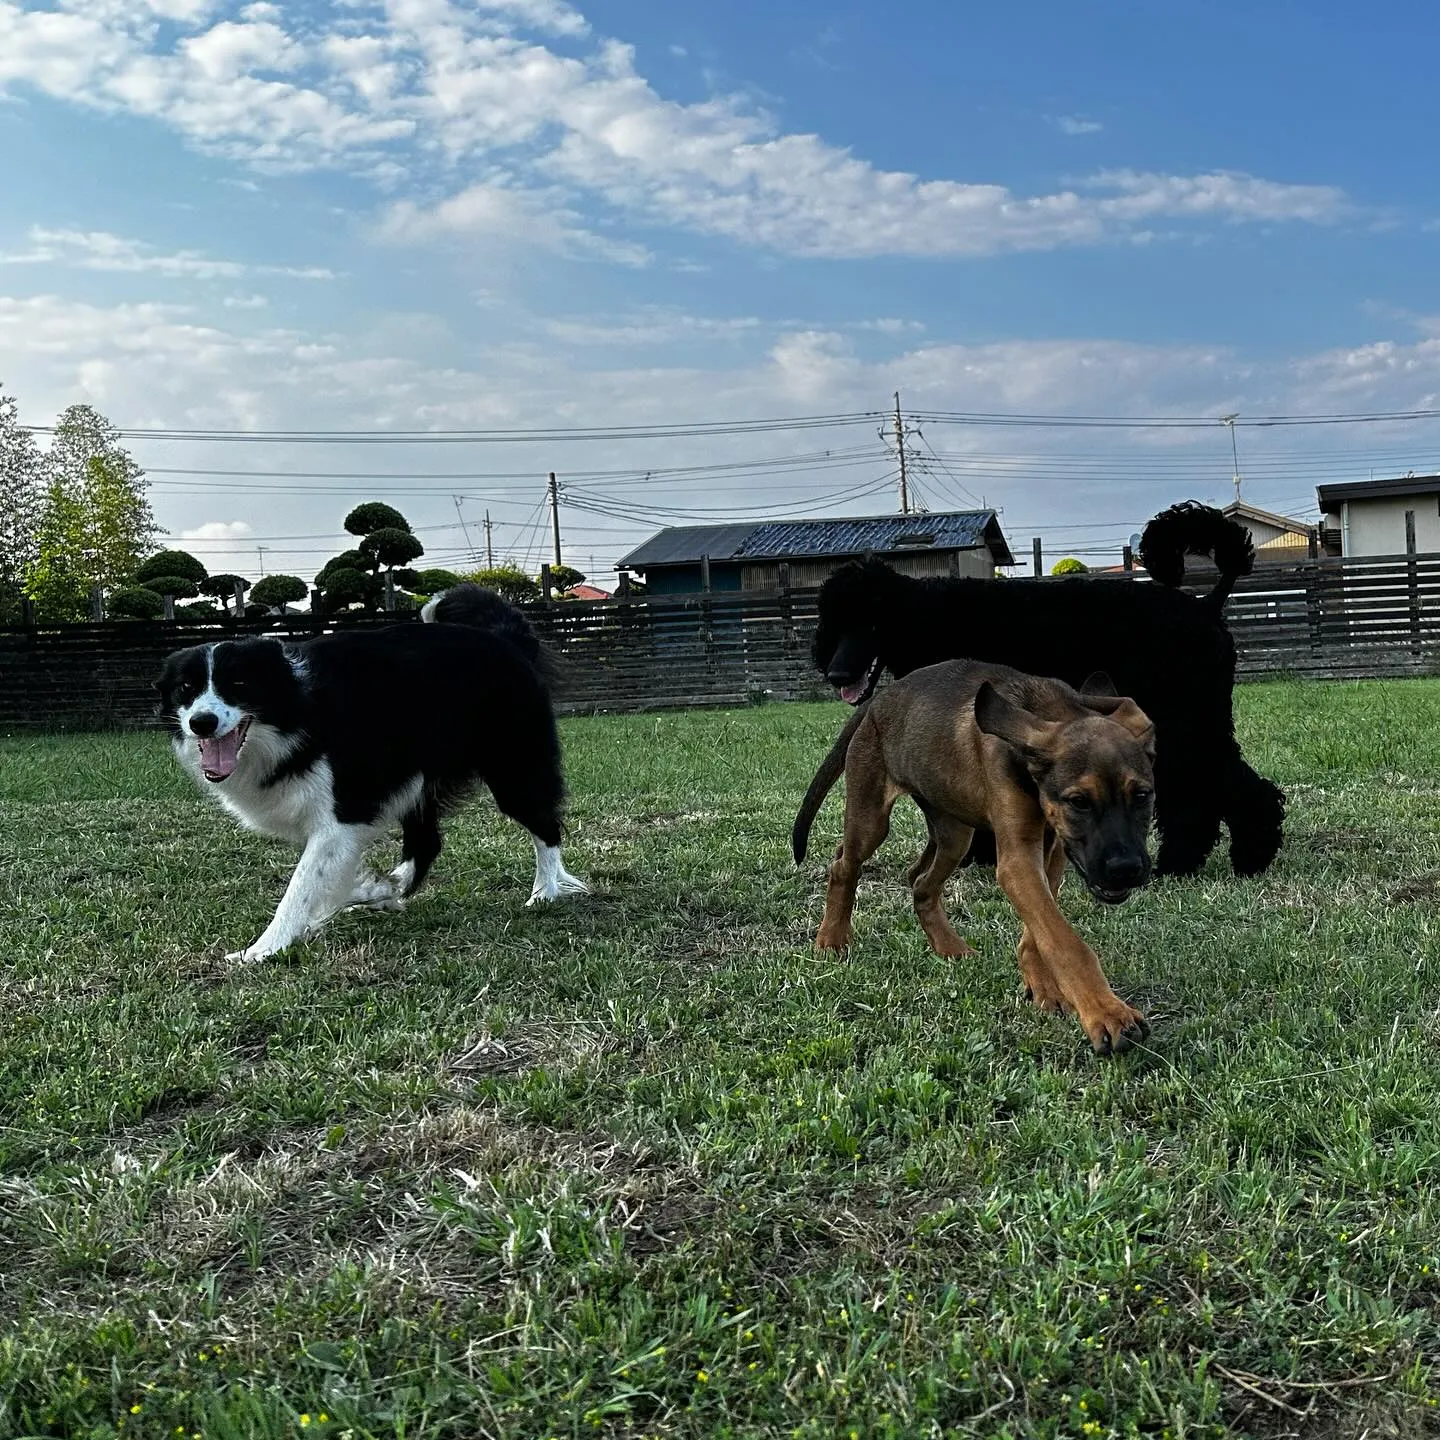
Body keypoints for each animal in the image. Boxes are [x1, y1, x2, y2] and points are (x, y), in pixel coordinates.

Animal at [800, 662, 1157, 1059]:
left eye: (1143, 795)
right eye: (1079, 801)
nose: (1126, 869)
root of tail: (876, 701)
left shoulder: (1052, 850)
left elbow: (1042, 930)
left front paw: (1044, 986)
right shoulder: (1019, 858)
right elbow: (1066, 942)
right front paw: (1107, 1013)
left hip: (955, 833)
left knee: (920, 882)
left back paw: (949, 947)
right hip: (870, 818)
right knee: (844, 866)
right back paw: (832, 938)